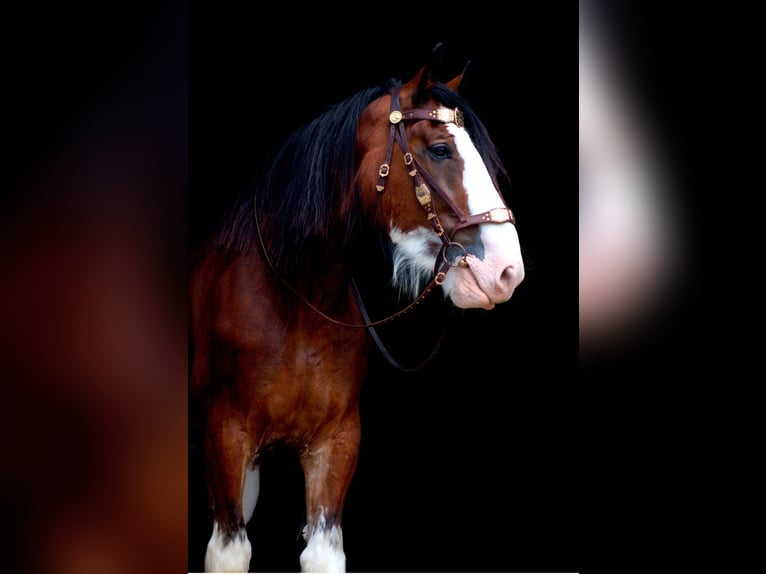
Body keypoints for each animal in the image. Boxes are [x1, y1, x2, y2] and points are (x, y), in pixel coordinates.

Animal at [189, 46, 525, 573]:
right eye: (440, 150)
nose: (507, 270)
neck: (297, 303)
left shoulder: (337, 442)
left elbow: (323, 552)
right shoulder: (225, 436)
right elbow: (229, 551)